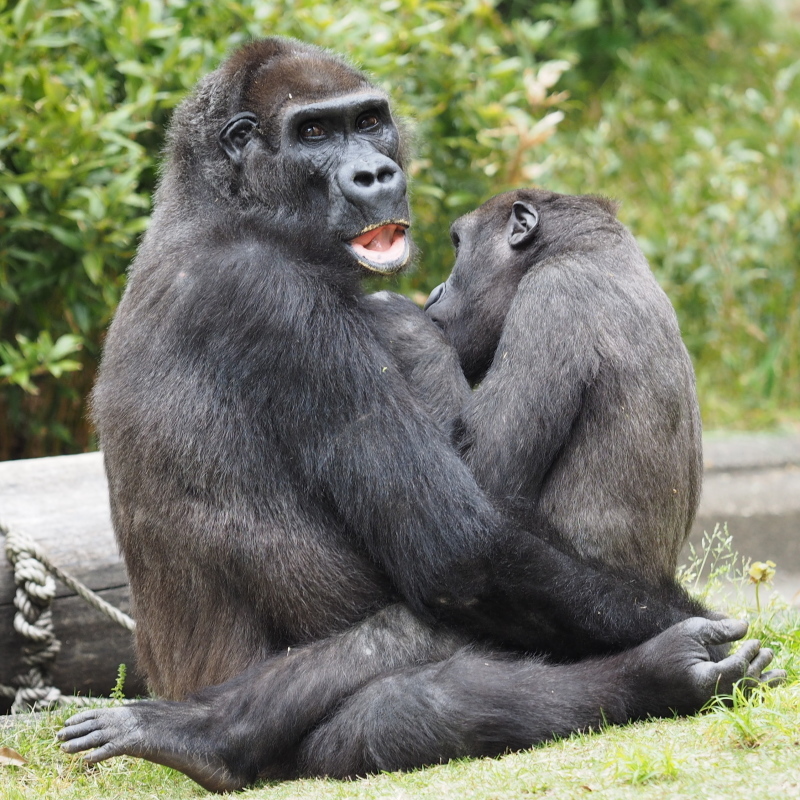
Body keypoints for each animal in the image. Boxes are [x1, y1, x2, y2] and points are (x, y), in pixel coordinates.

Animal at [57, 40, 780, 792]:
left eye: (369, 121)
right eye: (312, 132)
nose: (377, 173)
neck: (221, 206)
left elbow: (467, 526)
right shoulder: (273, 294)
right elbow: (459, 547)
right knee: (416, 690)